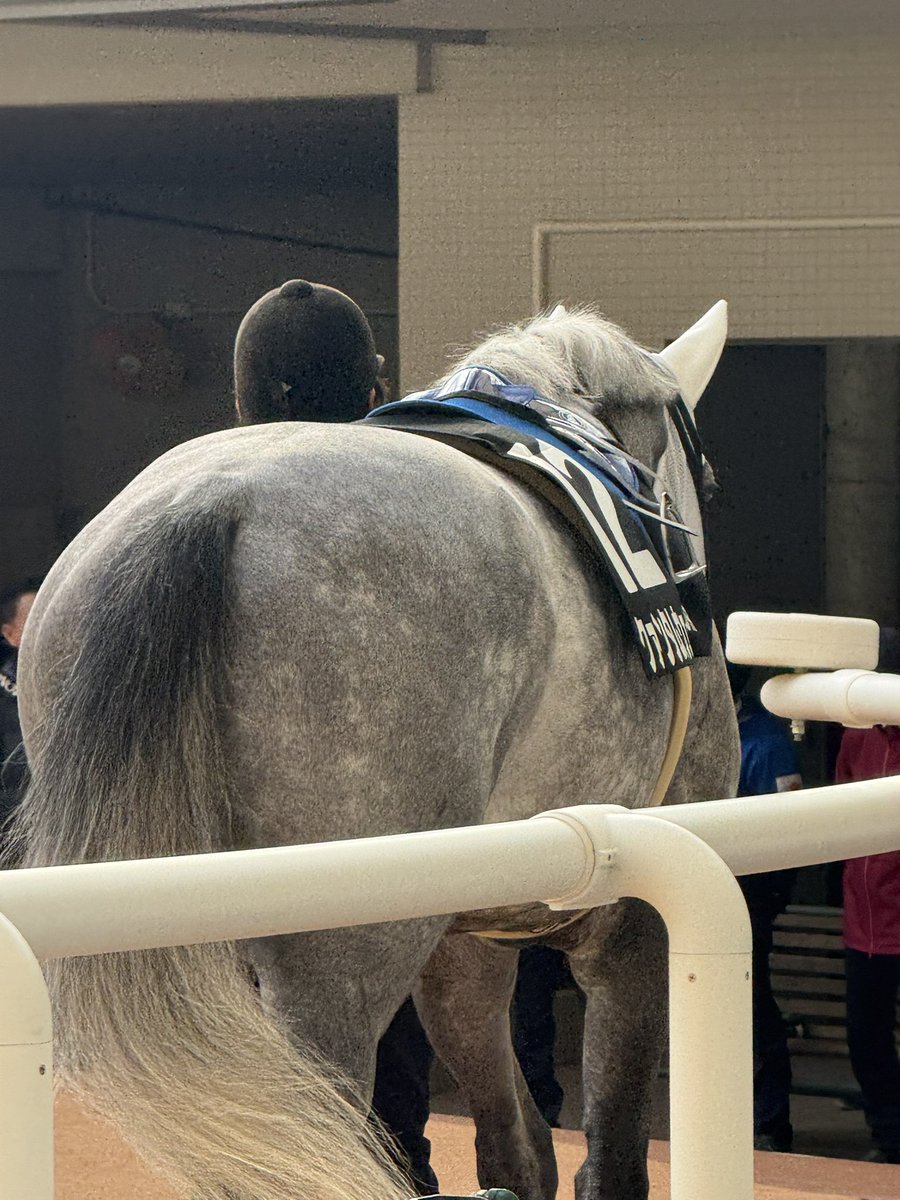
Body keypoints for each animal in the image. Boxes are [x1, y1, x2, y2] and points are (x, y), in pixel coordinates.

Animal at [12, 300, 740, 1200]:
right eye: (707, 478)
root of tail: (204, 506)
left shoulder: (466, 942)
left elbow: (518, 1147)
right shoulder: (637, 930)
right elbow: (611, 1162)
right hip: (336, 967)